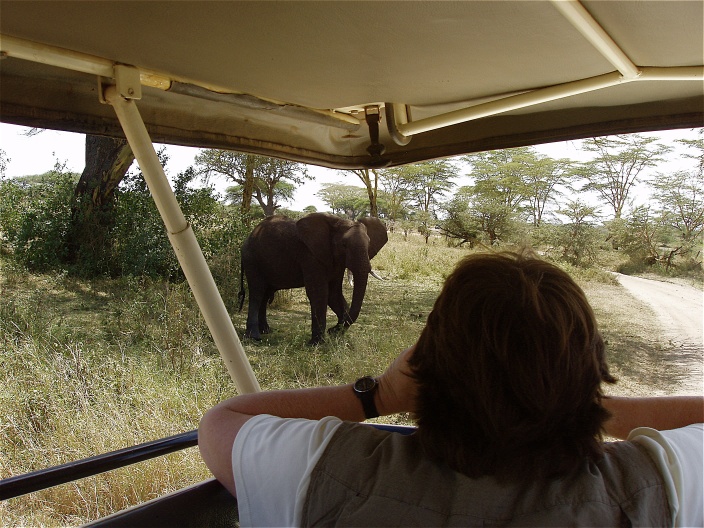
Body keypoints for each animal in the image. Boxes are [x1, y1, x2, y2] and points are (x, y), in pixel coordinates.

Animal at [239, 212, 388, 344]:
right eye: (344, 245)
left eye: (369, 243)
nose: (332, 330)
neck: (336, 223)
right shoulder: (310, 256)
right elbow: (319, 293)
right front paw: (317, 343)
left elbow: (334, 295)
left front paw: (334, 334)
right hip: (252, 259)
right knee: (257, 292)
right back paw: (254, 337)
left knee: (265, 294)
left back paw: (266, 331)